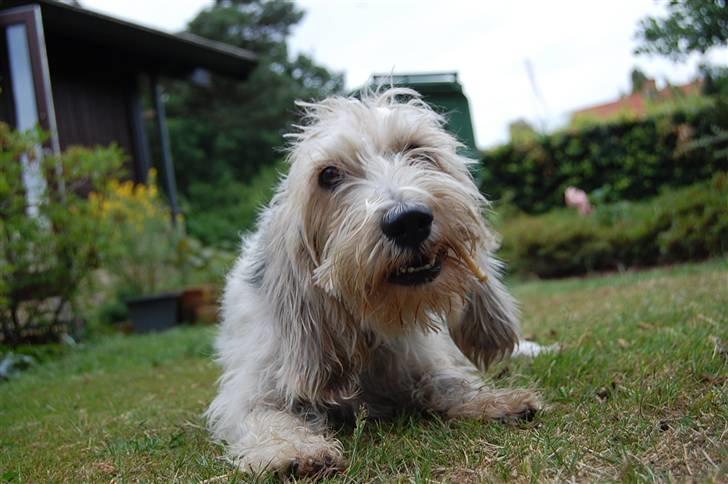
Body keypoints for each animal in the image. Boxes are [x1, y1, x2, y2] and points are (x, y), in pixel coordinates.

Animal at [205, 87, 540, 476]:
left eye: (417, 149)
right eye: (328, 174)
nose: (409, 221)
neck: (367, 323)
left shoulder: (421, 358)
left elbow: (446, 380)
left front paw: (493, 400)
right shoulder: (253, 384)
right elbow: (262, 413)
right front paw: (290, 449)